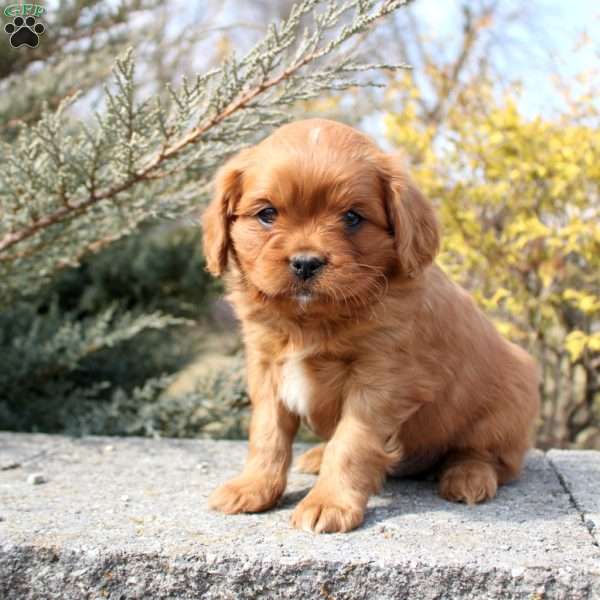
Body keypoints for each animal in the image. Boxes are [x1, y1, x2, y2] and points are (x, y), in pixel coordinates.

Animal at [200, 118, 540, 536]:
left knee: (489, 457)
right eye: (267, 214)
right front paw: (253, 487)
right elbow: (267, 433)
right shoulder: (265, 367)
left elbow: (351, 443)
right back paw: (316, 455)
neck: (309, 321)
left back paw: (468, 477)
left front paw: (329, 502)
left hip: (507, 405)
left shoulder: (381, 379)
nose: (305, 262)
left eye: (351, 217)